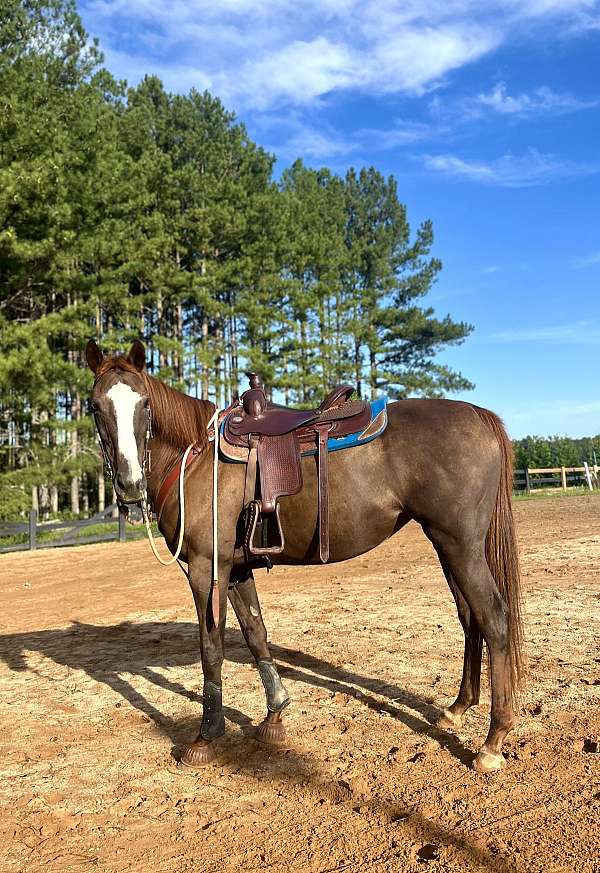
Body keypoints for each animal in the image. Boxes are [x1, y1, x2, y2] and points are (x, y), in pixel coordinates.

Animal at [86, 339, 525, 774]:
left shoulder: (205, 568)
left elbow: (211, 649)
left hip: (460, 546)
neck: (194, 459)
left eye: (144, 403)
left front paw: (205, 737)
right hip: (447, 545)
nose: (129, 483)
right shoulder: (237, 569)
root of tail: (478, 414)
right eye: (95, 405)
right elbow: (256, 634)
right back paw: (457, 708)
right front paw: (274, 716)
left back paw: (492, 742)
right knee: (470, 618)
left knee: (494, 618)